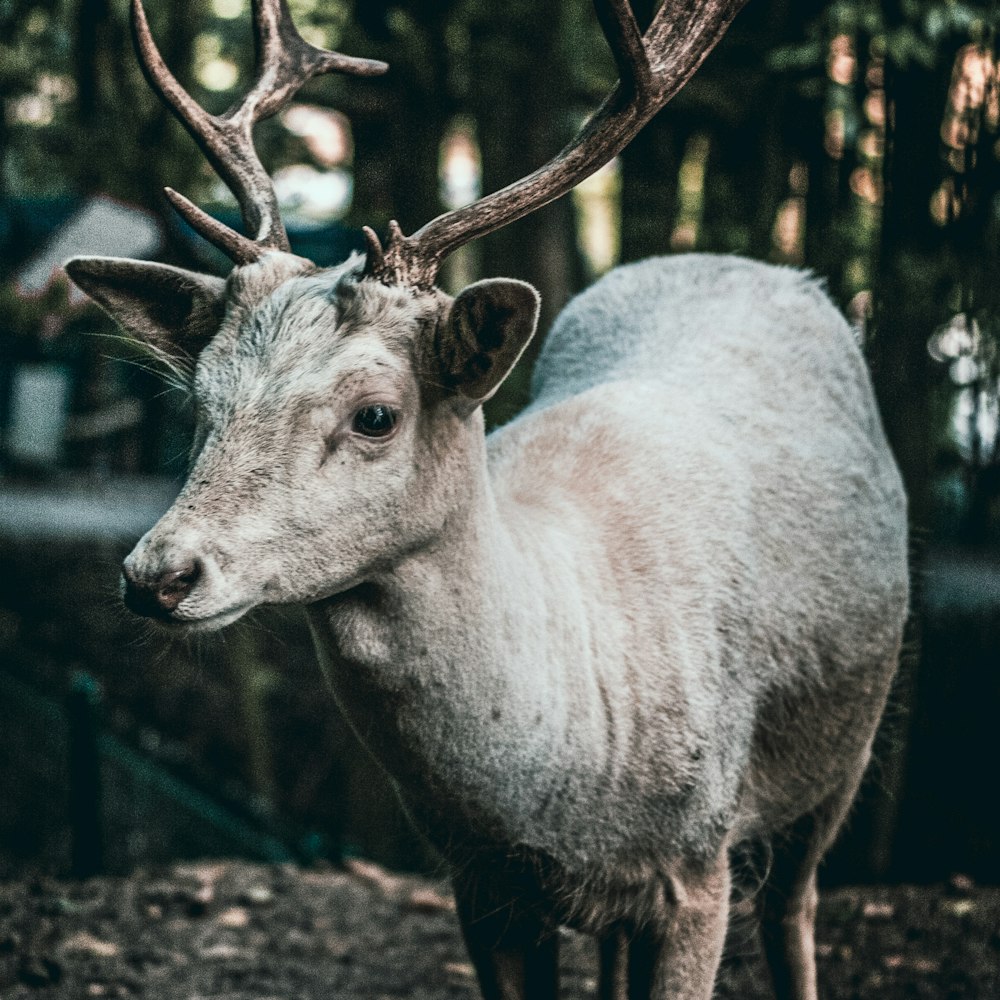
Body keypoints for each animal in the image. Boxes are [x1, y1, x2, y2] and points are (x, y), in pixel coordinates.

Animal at [62, 1, 908, 1000]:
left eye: (376, 414)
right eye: (200, 399)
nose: (158, 573)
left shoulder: (699, 865)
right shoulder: (479, 883)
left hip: (846, 750)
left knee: (795, 911)